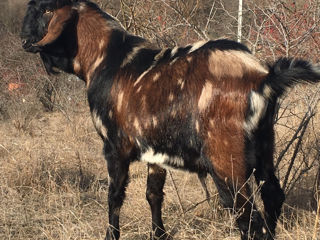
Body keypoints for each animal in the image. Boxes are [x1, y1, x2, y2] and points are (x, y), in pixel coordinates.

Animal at [20, 0, 320, 240]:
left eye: (46, 9)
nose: (24, 40)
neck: (106, 59)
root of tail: (264, 77)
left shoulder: (114, 147)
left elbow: (114, 196)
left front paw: (111, 235)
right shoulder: (155, 150)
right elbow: (153, 194)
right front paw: (159, 234)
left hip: (225, 159)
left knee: (247, 217)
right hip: (264, 147)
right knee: (272, 197)